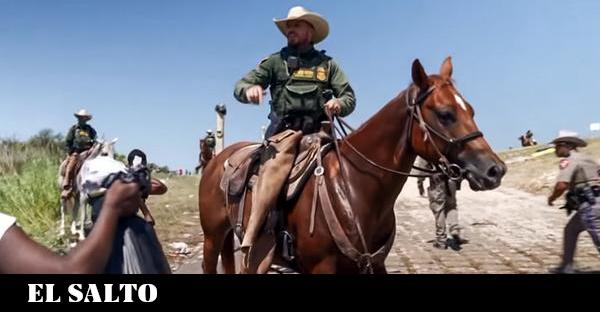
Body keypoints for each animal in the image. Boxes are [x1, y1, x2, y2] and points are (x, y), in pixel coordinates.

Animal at [198, 56, 506, 272]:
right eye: (445, 114)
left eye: (471, 110)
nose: (495, 170)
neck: (355, 188)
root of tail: (219, 161)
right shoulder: (321, 268)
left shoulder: (375, 264)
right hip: (213, 239)